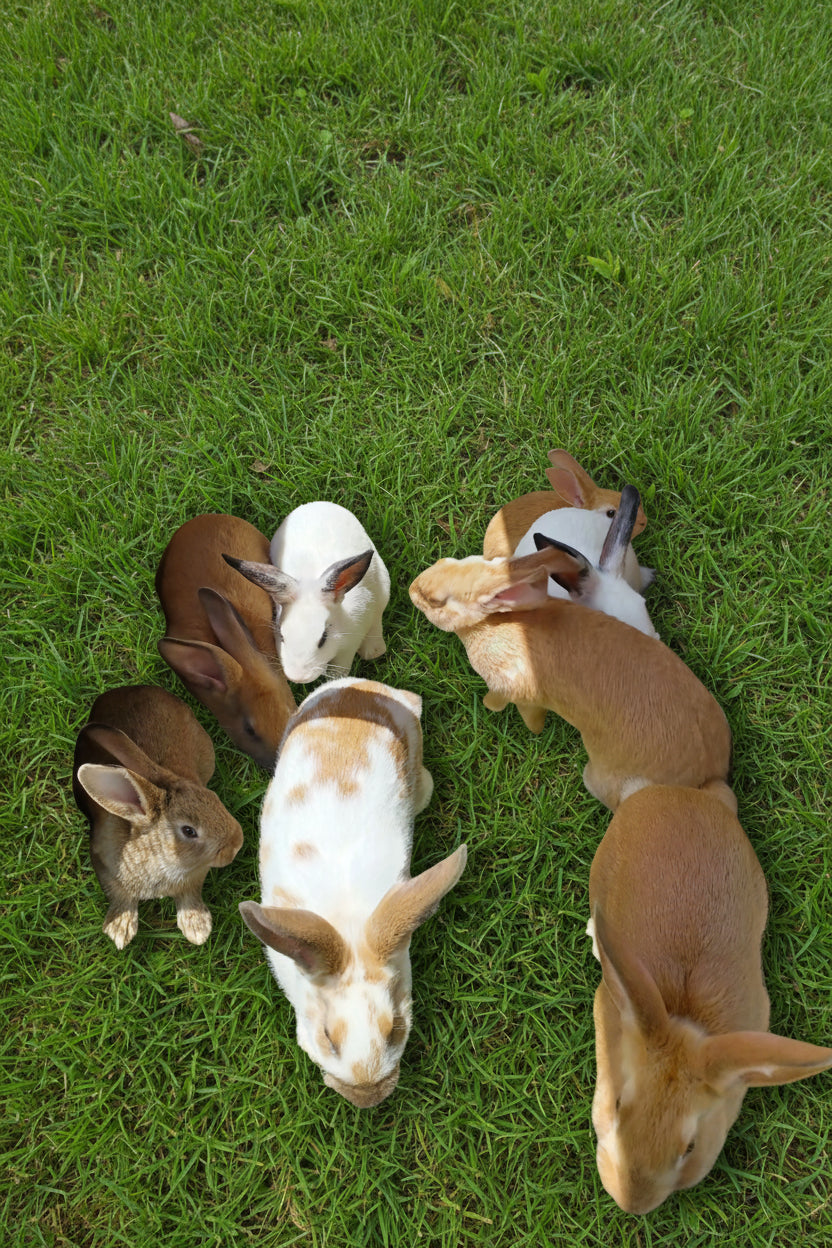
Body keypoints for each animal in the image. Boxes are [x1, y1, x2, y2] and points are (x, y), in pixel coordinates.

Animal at [73, 685, 244, 949]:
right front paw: (120, 929)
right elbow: (119, 895)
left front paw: (197, 928)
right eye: (188, 831)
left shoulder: (194, 877)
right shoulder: (104, 865)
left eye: (214, 798)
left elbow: (190, 894)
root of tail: (128, 690)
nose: (236, 846)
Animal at [224, 501, 391, 685]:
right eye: (282, 635)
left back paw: (374, 651)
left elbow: (339, 670)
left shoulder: (348, 647)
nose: (298, 677)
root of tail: (320, 504)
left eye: (324, 638)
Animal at [409, 549, 733, 812]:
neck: (496, 621)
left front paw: (497, 709)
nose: (412, 588)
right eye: (446, 561)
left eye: (434, 601)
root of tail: (708, 777)